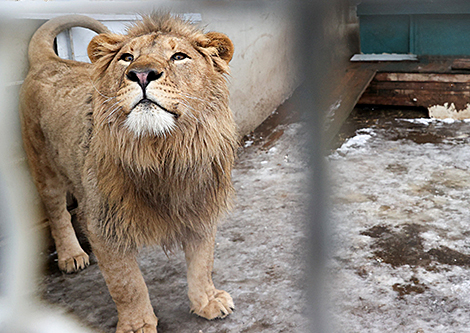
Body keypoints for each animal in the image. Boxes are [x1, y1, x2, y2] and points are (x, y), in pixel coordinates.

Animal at [20, 13, 237, 332]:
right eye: (127, 58)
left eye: (179, 56)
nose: (142, 74)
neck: (162, 154)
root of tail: (49, 61)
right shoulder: (102, 226)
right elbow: (127, 283)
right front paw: (136, 325)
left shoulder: (200, 207)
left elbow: (202, 263)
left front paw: (207, 301)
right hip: (44, 167)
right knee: (57, 213)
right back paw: (72, 255)